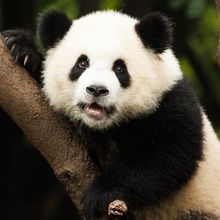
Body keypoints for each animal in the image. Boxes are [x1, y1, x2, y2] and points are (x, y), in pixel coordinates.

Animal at [2, 9, 220, 219]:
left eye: (119, 68)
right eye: (82, 64)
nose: (97, 90)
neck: (105, 125)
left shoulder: (169, 103)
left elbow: (168, 156)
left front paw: (100, 195)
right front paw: (21, 49)